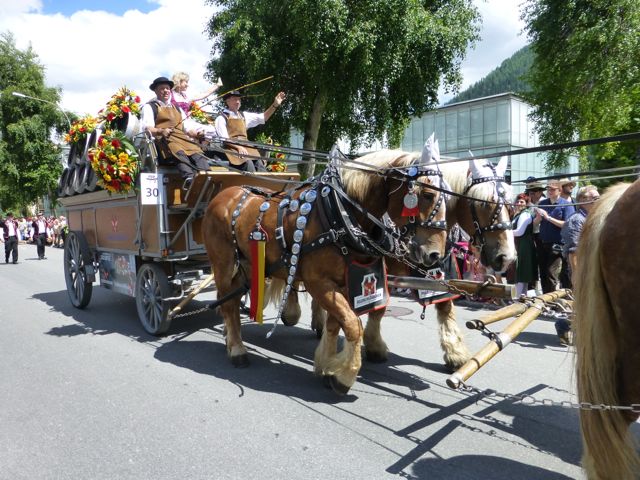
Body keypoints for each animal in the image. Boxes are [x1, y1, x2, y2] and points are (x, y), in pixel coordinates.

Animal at [202, 143, 449, 395]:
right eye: (428, 195)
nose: (436, 255)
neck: (339, 213)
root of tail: (224, 195)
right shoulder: (318, 282)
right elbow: (352, 324)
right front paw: (345, 376)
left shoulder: (344, 282)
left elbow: (337, 324)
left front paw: (327, 365)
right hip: (223, 264)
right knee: (228, 304)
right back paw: (237, 350)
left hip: (248, 266)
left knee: (231, 299)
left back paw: (229, 337)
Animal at [311, 153, 516, 369]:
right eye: (483, 204)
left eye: (511, 205)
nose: (507, 257)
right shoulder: (381, 269)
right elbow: (378, 308)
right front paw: (374, 345)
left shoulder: (439, 270)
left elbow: (445, 306)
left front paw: (455, 352)